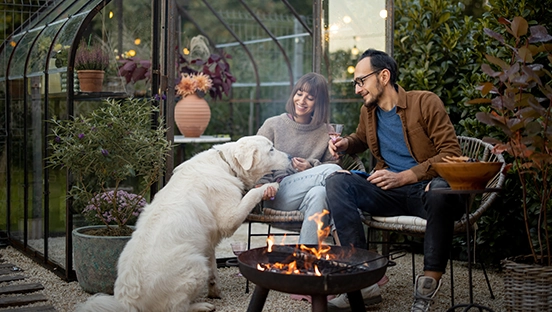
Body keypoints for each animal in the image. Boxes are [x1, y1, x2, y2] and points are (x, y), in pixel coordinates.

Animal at [78, 136, 294, 312]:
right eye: (271, 149)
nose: (291, 157)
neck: (226, 164)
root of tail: (128, 302)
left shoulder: (208, 241)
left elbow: (213, 267)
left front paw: (215, 291)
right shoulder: (229, 218)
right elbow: (252, 194)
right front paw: (270, 186)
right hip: (194, 267)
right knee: (176, 308)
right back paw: (200, 306)